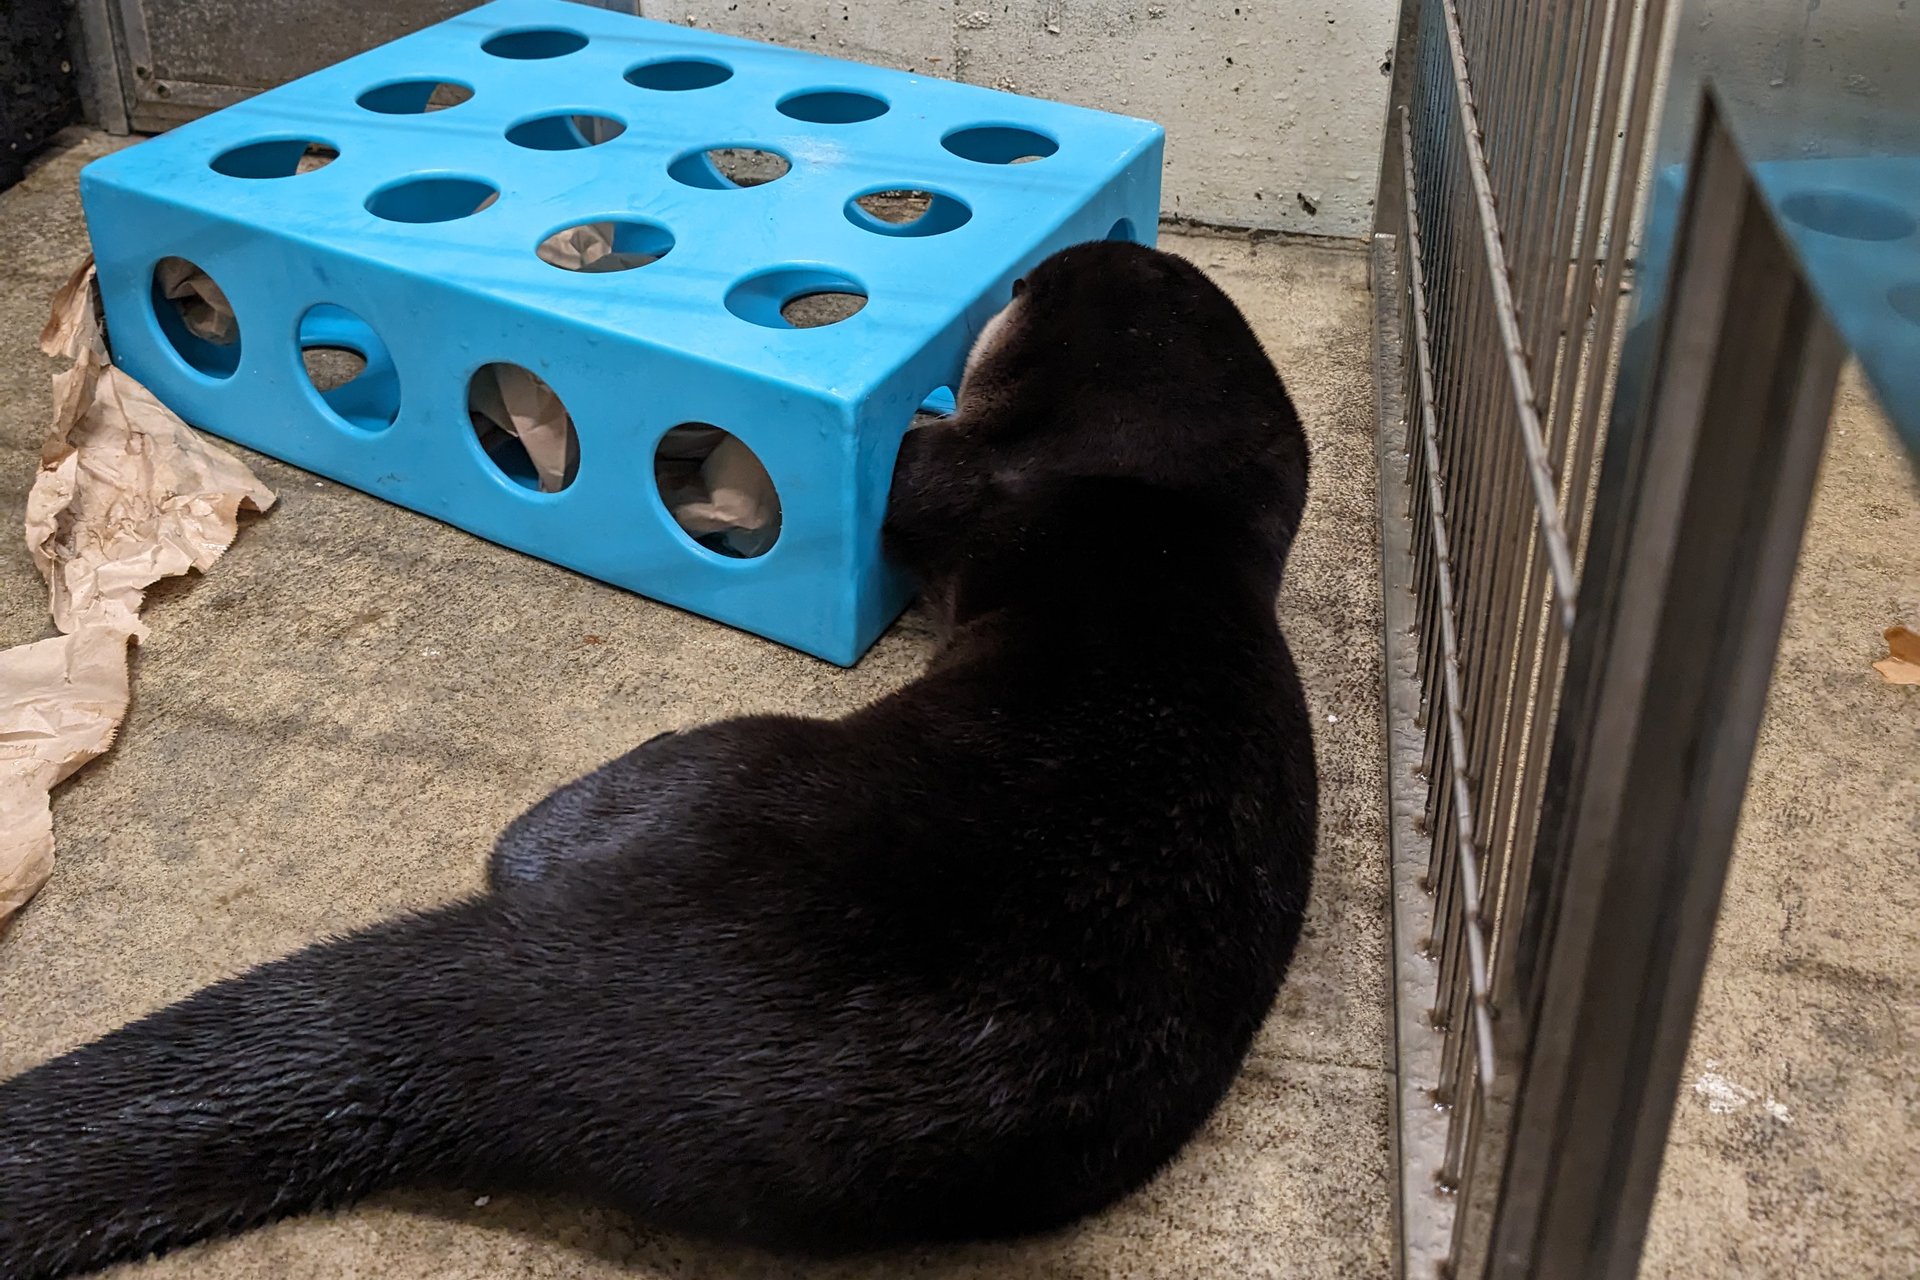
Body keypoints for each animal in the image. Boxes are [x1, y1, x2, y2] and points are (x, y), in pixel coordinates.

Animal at [0, 237, 1320, 1274]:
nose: (1023, 273)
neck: (1169, 513)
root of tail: (597, 997)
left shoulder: (983, 478)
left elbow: (919, 472)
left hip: (745, 767)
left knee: (541, 842)